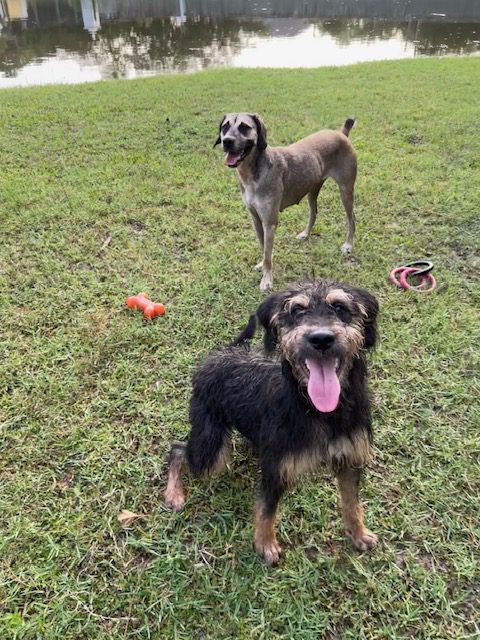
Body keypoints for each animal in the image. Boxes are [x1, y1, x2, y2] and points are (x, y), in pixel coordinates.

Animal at [165, 280, 378, 564]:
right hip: (212, 449)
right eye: (297, 310)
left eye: (340, 307)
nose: (321, 339)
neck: (318, 410)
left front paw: (359, 534)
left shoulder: (350, 460)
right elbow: (266, 510)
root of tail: (221, 352)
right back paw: (174, 493)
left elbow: (352, 503)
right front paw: (265, 545)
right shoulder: (276, 469)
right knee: (178, 449)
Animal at [216, 116, 358, 292]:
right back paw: (305, 234)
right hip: (312, 189)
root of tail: (341, 133)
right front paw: (262, 265)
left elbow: (268, 253)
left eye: (244, 127)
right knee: (314, 213)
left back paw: (348, 245)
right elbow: (264, 249)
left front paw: (267, 279)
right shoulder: (256, 219)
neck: (253, 172)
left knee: (351, 219)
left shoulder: (269, 223)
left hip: (346, 190)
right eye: (225, 126)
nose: (227, 141)